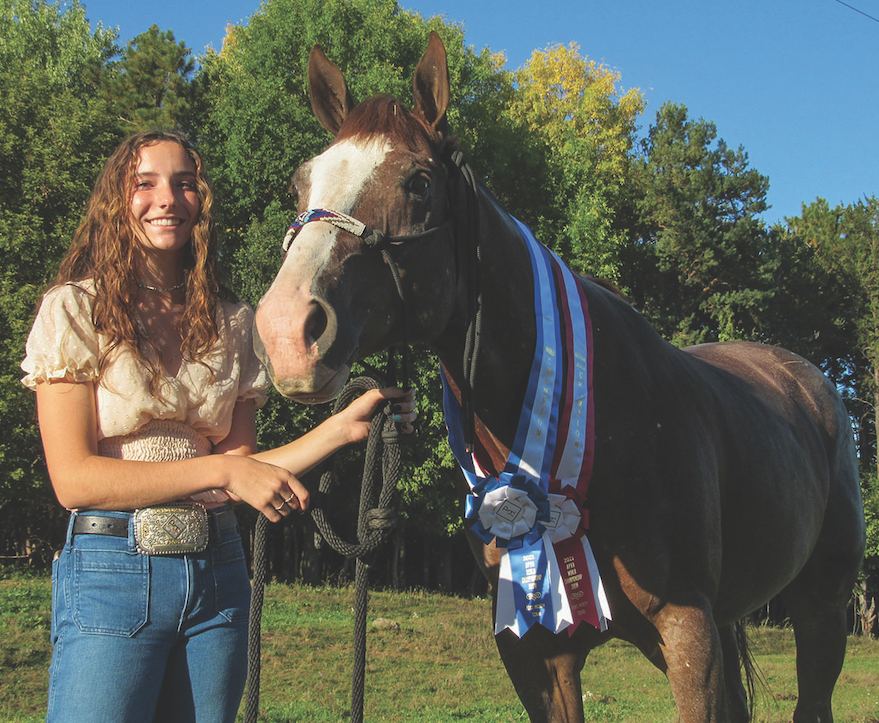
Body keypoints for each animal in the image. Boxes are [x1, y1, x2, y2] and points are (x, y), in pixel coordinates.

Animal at [253, 32, 868, 723]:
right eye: (301, 182)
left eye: (419, 183)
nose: (285, 332)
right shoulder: (536, 652)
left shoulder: (690, 632)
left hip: (821, 607)